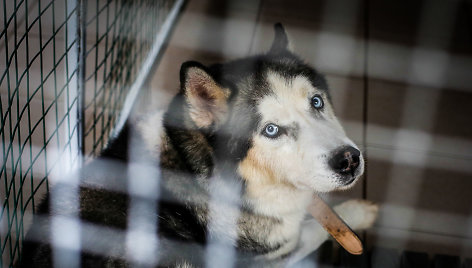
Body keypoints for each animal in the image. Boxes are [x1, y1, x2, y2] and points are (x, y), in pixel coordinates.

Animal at [20, 24, 378, 266]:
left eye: (316, 102)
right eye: (271, 130)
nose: (348, 160)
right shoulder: (266, 257)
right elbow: (311, 231)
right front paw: (358, 213)